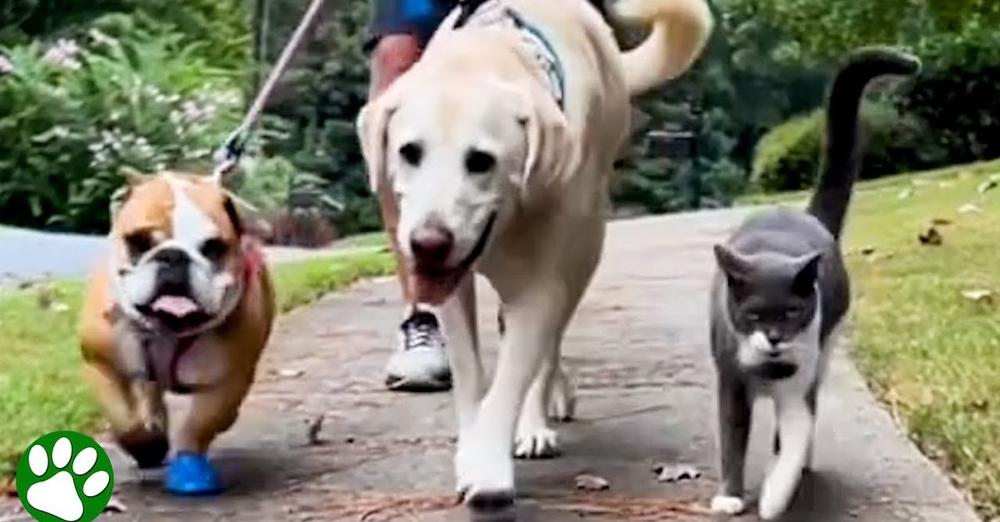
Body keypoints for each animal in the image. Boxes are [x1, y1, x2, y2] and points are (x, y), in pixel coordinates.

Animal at [708, 47, 916, 516]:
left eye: (791, 310)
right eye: (753, 314)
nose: (773, 338)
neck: (769, 368)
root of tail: (807, 216)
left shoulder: (799, 377)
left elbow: (796, 433)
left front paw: (773, 496)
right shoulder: (730, 377)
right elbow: (732, 436)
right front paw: (730, 497)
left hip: (826, 349)